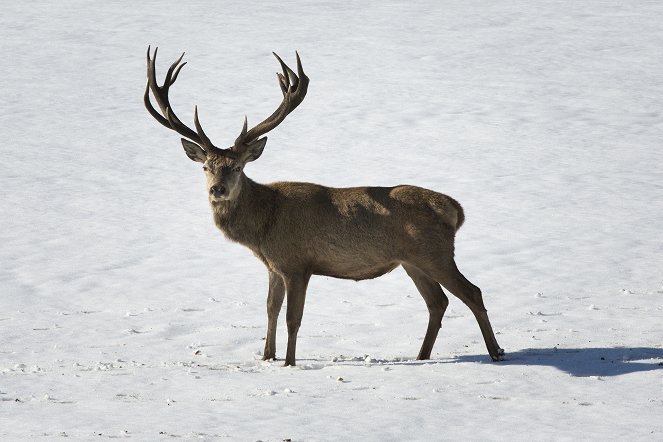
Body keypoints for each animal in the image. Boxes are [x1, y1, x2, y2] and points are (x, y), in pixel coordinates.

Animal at [144, 46, 504, 368]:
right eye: (206, 166)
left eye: (236, 167)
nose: (217, 190)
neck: (264, 227)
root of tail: (456, 209)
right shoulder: (274, 266)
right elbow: (270, 309)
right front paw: (266, 357)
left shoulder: (298, 263)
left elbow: (293, 318)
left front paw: (289, 363)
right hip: (411, 260)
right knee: (437, 302)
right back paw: (422, 356)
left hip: (435, 252)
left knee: (472, 292)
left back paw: (496, 352)